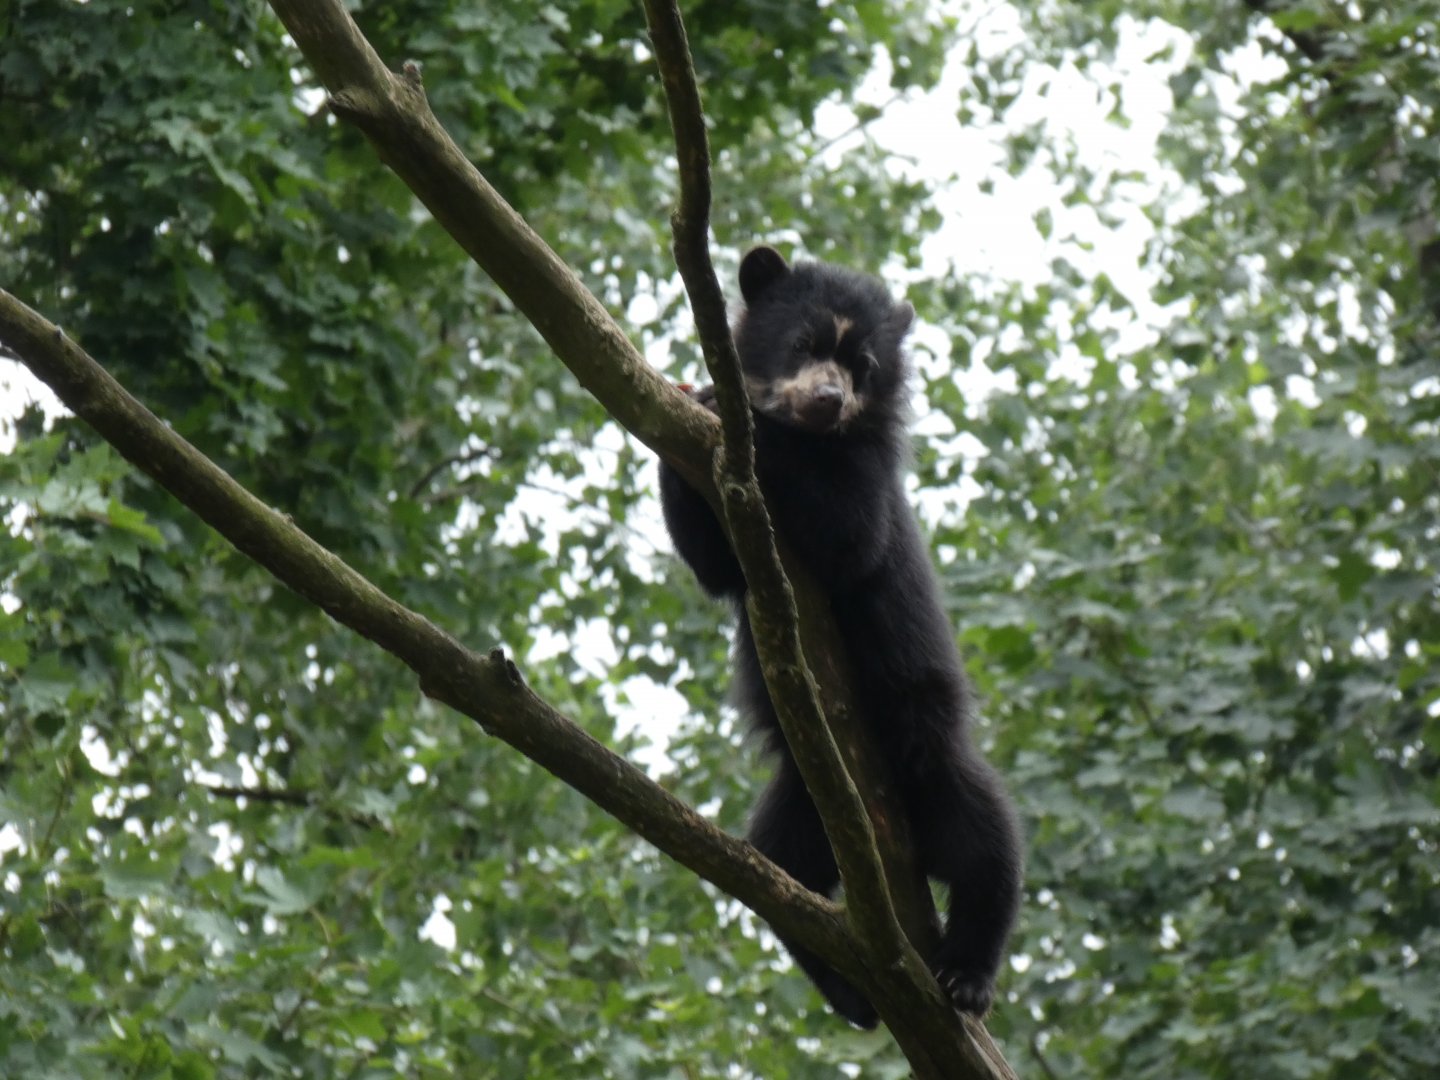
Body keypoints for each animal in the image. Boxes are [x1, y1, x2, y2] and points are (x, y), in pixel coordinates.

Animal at [657, 246, 1023, 1028]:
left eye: (864, 367)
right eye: (802, 343)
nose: (827, 399)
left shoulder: (867, 472)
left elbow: (848, 533)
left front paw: (747, 424)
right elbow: (711, 561)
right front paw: (696, 397)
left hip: (931, 755)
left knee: (989, 841)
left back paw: (967, 976)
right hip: (801, 799)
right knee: (779, 874)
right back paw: (853, 992)